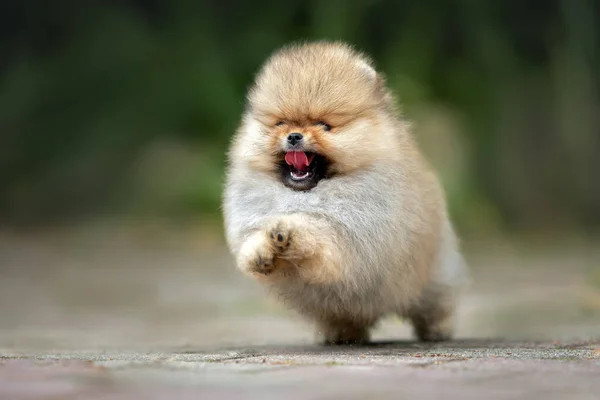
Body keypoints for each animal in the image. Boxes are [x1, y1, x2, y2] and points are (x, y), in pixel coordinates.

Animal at [223, 42, 466, 346]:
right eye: (280, 123)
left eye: (324, 125)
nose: (294, 136)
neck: (303, 195)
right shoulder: (252, 218)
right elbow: (254, 240)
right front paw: (261, 251)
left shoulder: (351, 235)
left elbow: (318, 236)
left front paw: (289, 233)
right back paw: (342, 334)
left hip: (433, 276)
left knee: (435, 304)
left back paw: (437, 329)